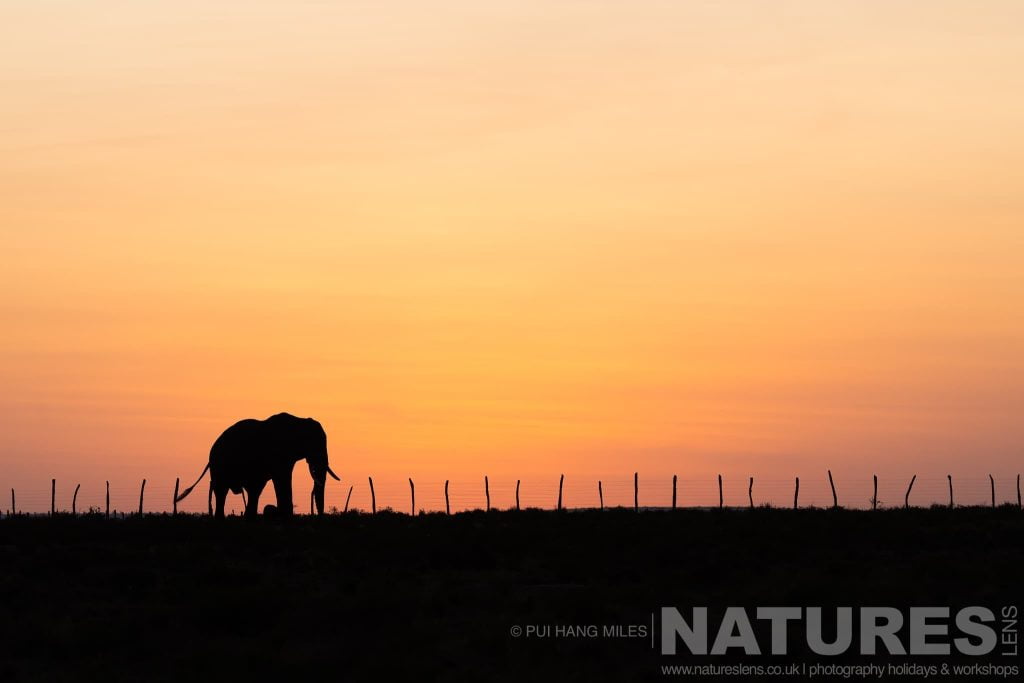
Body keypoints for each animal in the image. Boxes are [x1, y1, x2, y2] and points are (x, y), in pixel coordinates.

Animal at [176, 413, 339, 518]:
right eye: (315, 444)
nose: (319, 516)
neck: (299, 420)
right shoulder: (278, 452)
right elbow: (281, 479)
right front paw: (284, 516)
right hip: (219, 465)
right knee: (222, 490)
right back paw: (221, 519)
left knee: (254, 490)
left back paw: (250, 518)